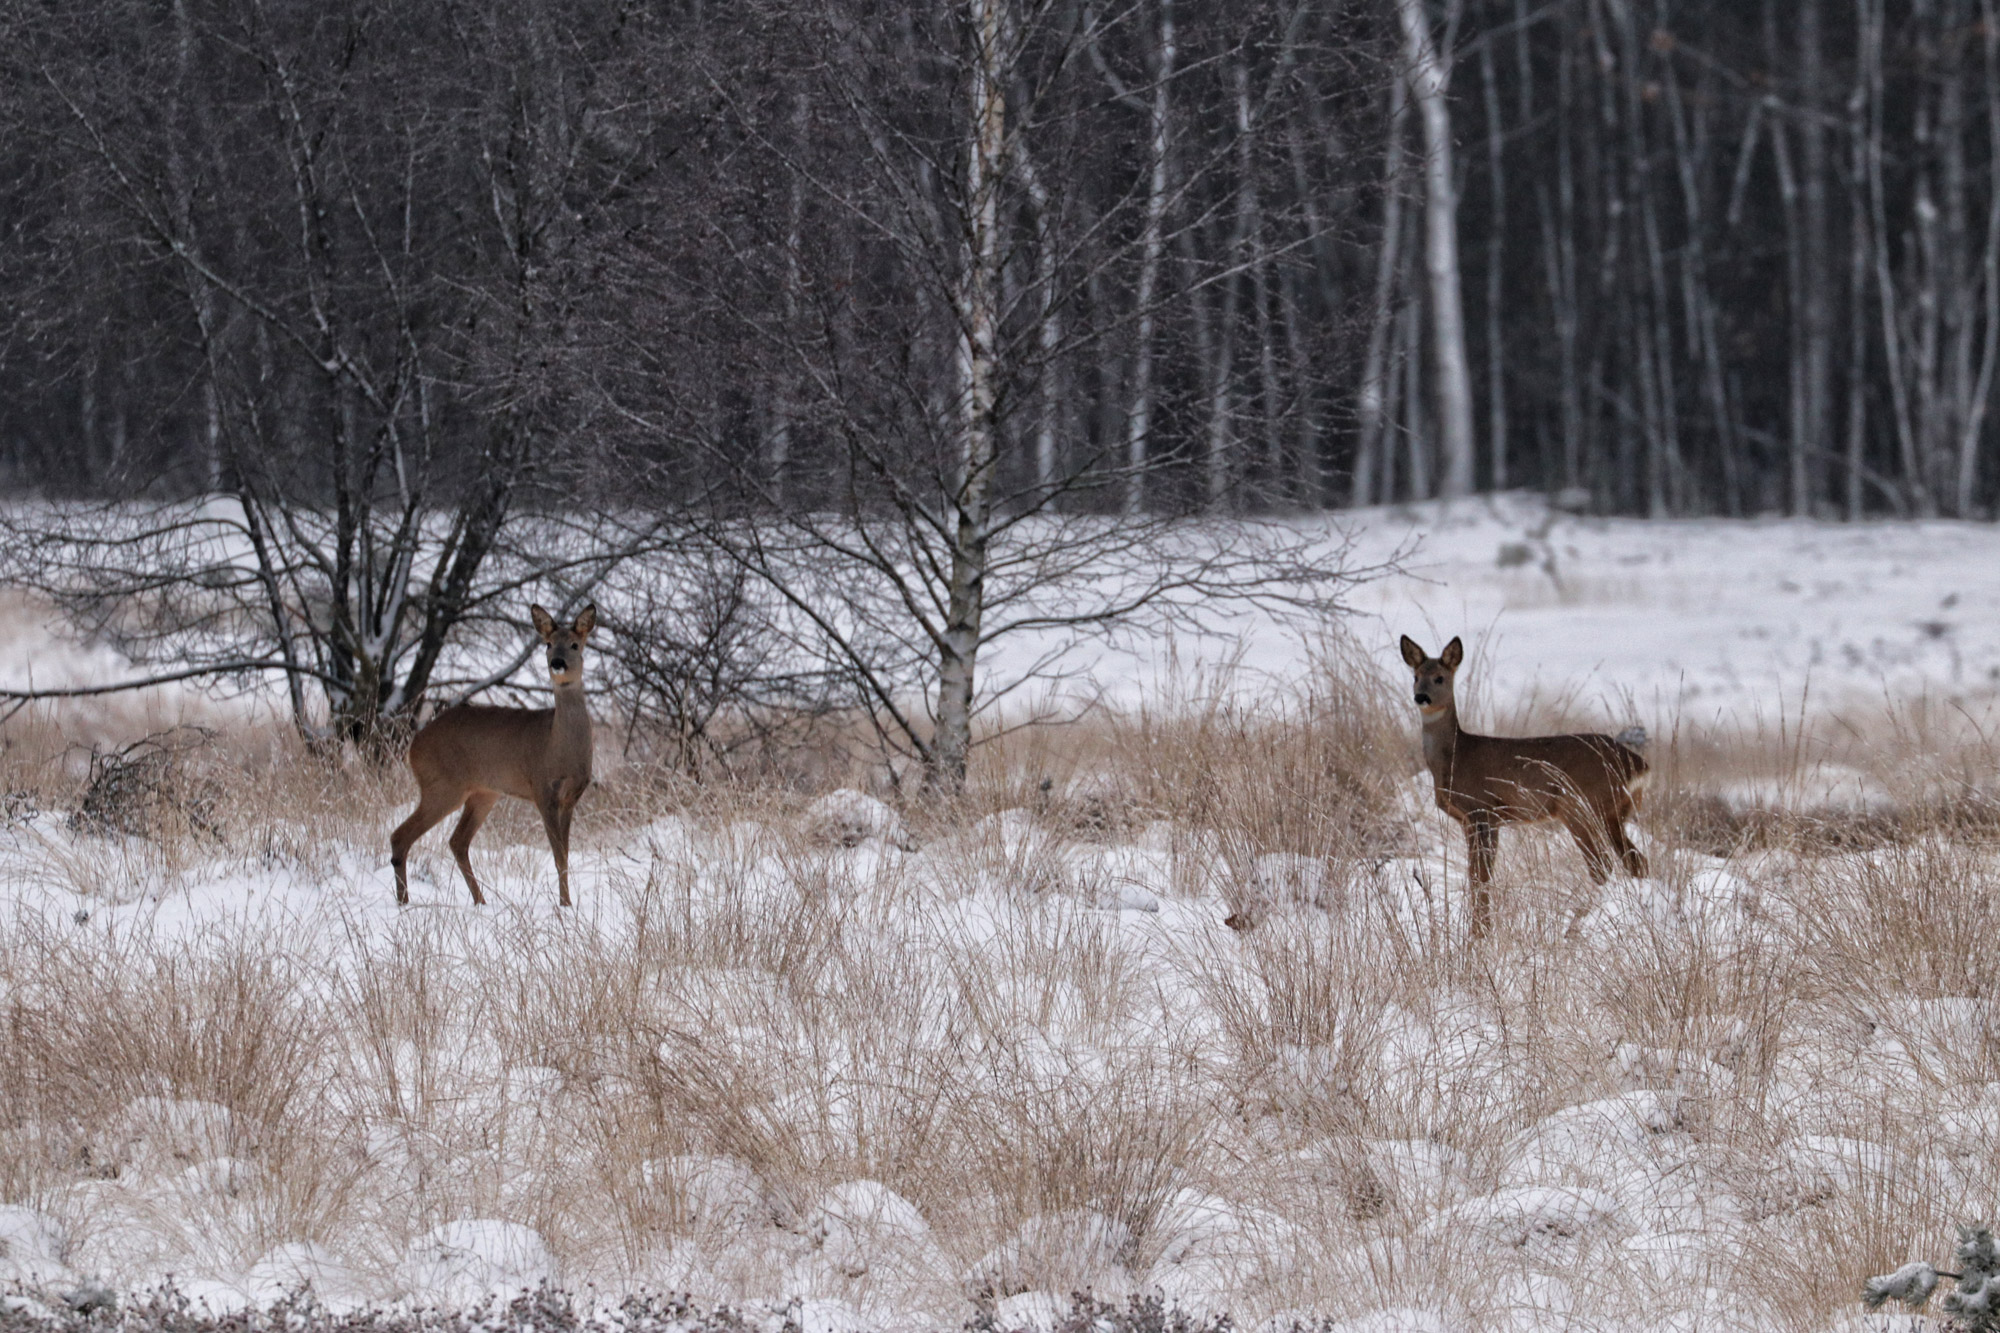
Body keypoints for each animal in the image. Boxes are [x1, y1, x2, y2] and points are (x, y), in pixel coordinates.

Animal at [390, 600, 592, 904]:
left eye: (574, 644)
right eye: (547, 644)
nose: (557, 663)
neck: (559, 746)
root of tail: (414, 745)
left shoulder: (571, 797)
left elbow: (565, 855)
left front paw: (567, 903)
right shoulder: (542, 789)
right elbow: (558, 856)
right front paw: (565, 905)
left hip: (483, 792)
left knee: (457, 840)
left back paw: (480, 901)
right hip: (442, 785)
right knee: (401, 835)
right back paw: (404, 903)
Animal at [1400, 632, 1648, 932]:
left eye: (1439, 678)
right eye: (1415, 676)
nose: (1421, 697)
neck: (1455, 758)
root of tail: (1638, 764)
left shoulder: (1483, 810)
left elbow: (1481, 877)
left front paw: (1481, 932)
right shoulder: (1469, 820)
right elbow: (1474, 876)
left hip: (1581, 806)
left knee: (1602, 866)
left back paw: (1574, 926)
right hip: (1612, 813)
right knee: (1635, 861)